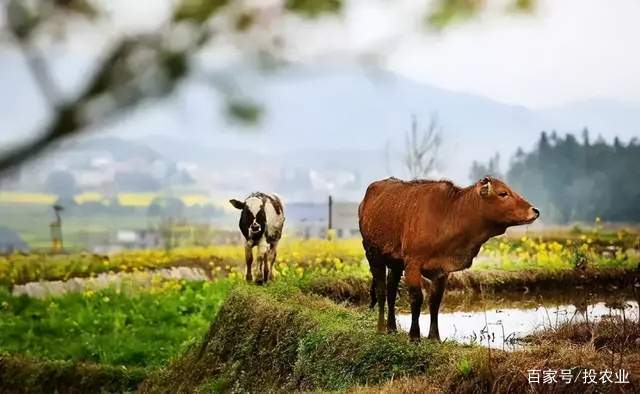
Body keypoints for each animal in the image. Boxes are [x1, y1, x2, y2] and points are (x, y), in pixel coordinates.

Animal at [360, 176, 540, 342]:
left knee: (391, 291)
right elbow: (417, 298)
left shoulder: (442, 270)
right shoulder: (412, 263)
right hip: (373, 254)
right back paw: (381, 328)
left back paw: (392, 328)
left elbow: (435, 301)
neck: (448, 215)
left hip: (395, 263)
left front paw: (434, 337)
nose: (535, 210)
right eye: (503, 193)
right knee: (382, 291)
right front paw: (414, 336)